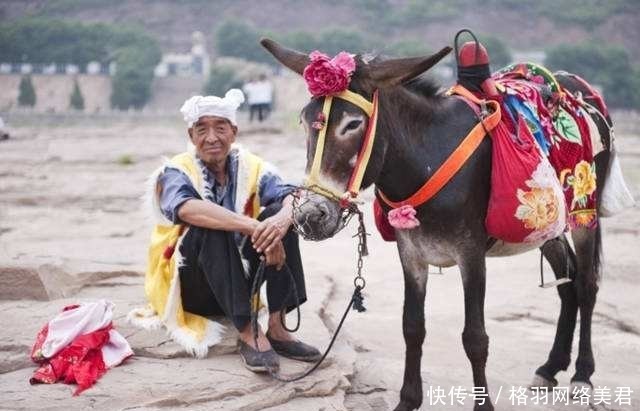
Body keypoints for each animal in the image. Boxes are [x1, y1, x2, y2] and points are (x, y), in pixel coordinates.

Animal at [261, 38, 612, 411]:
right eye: (303, 120)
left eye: (352, 124)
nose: (311, 216)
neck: (428, 157)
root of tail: (574, 83)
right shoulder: (411, 254)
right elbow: (412, 327)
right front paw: (408, 401)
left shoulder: (471, 254)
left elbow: (475, 337)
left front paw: (483, 406)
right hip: (546, 226)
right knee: (567, 284)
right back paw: (550, 367)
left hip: (583, 212)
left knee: (586, 285)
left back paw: (582, 375)